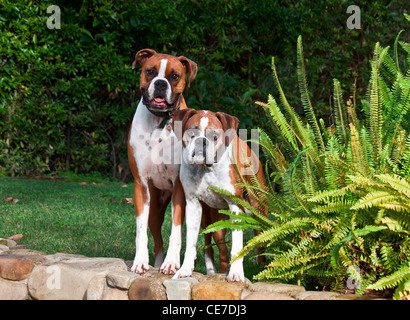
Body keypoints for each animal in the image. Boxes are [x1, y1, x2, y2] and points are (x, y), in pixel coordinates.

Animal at [129, 48, 198, 274]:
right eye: (150, 71)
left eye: (174, 76)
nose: (160, 83)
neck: (160, 121)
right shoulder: (140, 185)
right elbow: (140, 231)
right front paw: (140, 261)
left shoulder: (179, 187)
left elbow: (176, 230)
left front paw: (171, 263)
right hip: (154, 209)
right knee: (157, 240)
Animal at [169, 109, 266, 282]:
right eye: (191, 133)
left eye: (214, 136)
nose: (201, 141)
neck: (205, 169)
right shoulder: (193, 205)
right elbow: (191, 243)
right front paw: (185, 270)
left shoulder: (236, 206)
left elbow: (237, 245)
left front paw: (236, 273)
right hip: (217, 225)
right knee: (223, 250)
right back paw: (220, 273)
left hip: (258, 209)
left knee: (260, 237)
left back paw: (261, 266)